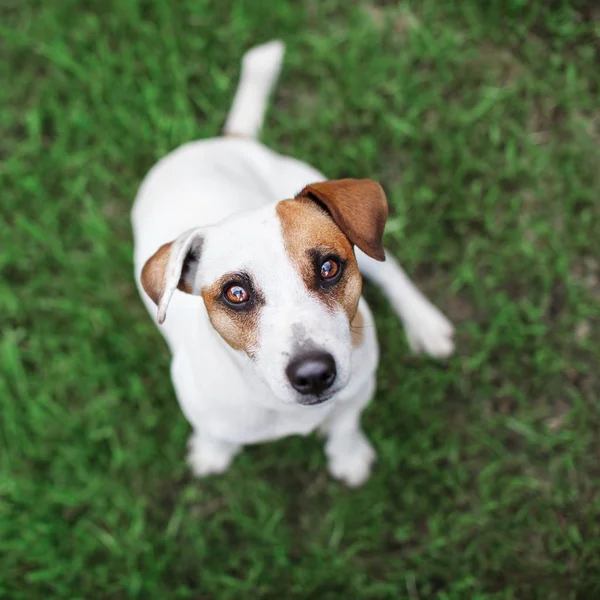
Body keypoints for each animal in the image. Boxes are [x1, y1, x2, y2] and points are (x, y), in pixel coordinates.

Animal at [130, 39, 450, 488]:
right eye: (236, 293)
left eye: (329, 267)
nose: (313, 373)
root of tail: (223, 142)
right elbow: (214, 434)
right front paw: (212, 454)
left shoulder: (358, 389)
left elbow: (345, 424)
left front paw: (348, 456)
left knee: (392, 271)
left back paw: (426, 324)